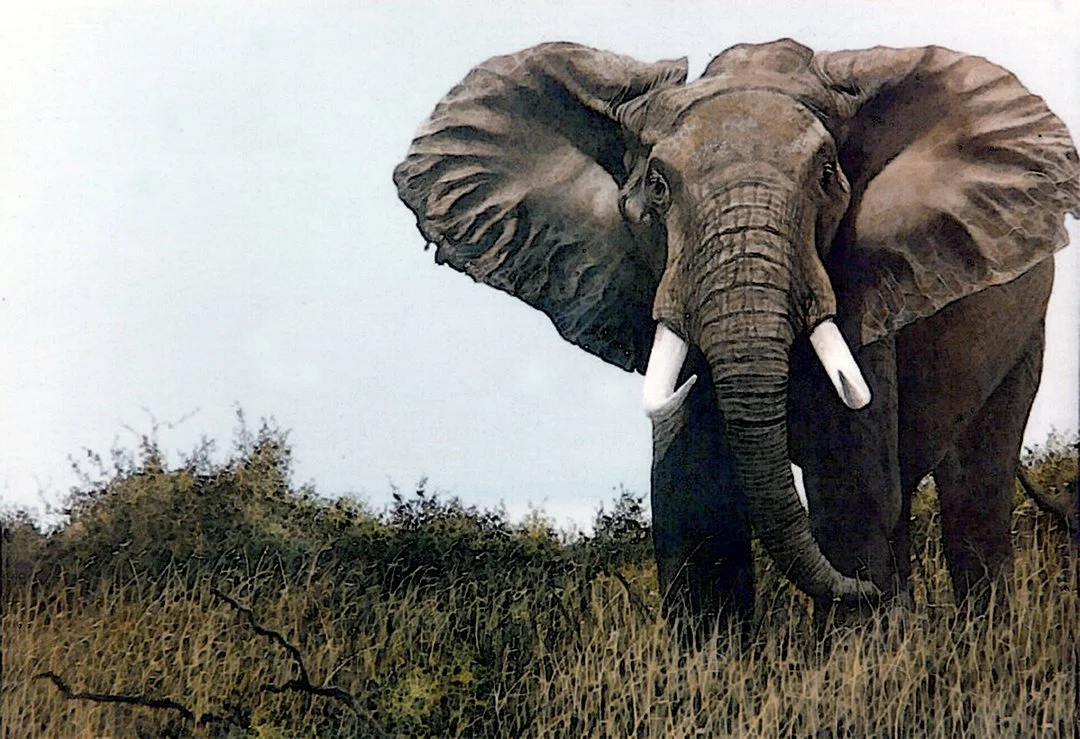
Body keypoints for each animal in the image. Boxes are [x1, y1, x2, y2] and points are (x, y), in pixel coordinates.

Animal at [394, 39, 1079, 629]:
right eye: (657, 186)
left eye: (827, 176)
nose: (868, 592)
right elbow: (695, 507)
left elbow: (850, 493)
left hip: (1026, 332)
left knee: (973, 493)